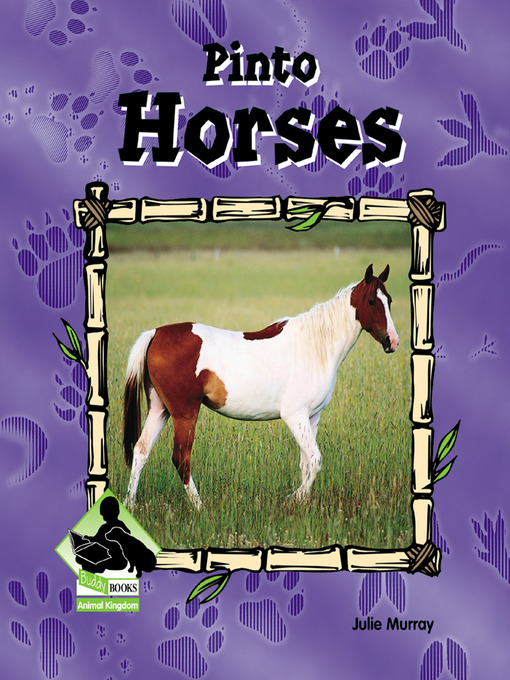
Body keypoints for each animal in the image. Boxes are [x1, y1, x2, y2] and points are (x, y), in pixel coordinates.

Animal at [122, 264, 398, 511]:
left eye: (390, 300)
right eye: (371, 301)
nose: (392, 341)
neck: (313, 346)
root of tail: (156, 333)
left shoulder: (312, 417)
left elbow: (306, 463)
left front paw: (302, 503)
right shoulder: (295, 415)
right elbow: (315, 460)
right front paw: (294, 498)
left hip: (160, 409)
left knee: (141, 450)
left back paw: (130, 504)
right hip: (184, 414)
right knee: (181, 459)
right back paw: (199, 507)